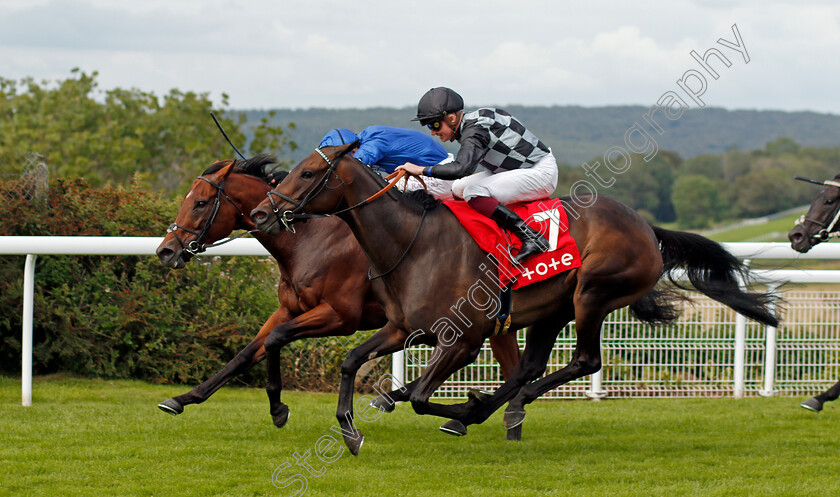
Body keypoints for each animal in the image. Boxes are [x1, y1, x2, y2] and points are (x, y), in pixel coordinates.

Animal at [153, 153, 520, 428]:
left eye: (201, 203)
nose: (166, 251)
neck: (308, 240)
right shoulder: (288, 309)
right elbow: (248, 353)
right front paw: (183, 399)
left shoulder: (339, 317)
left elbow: (275, 340)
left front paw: (278, 409)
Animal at [249, 142, 780, 454]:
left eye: (308, 173)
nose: (260, 213)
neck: (412, 244)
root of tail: (646, 227)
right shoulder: (401, 327)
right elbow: (351, 361)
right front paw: (350, 429)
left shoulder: (463, 340)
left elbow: (422, 398)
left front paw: (460, 410)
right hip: (554, 308)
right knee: (530, 367)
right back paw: (501, 407)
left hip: (592, 294)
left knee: (582, 361)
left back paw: (489, 409)